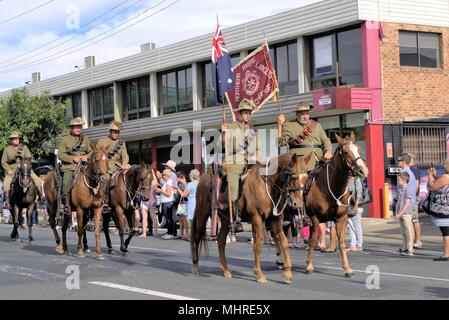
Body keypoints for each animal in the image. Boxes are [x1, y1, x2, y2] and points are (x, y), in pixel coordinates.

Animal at [190, 152, 312, 282]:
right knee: (197, 237)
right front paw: (259, 274)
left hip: (226, 220)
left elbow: (284, 241)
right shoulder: (256, 218)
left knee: (221, 240)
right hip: (202, 214)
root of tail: (203, 177)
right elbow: (257, 244)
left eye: (306, 178)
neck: (266, 185)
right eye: (293, 177)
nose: (297, 204)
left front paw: (287, 273)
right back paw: (195, 266)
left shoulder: (274, 219)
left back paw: (226, 270)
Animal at [302, 132, 370, 278]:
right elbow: (312, 241)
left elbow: (342, 243)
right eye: (345, 152)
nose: (363, 171)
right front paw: (309, 266)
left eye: (359, 149)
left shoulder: (341, 219)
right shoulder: (314, 218)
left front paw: (347, 268)